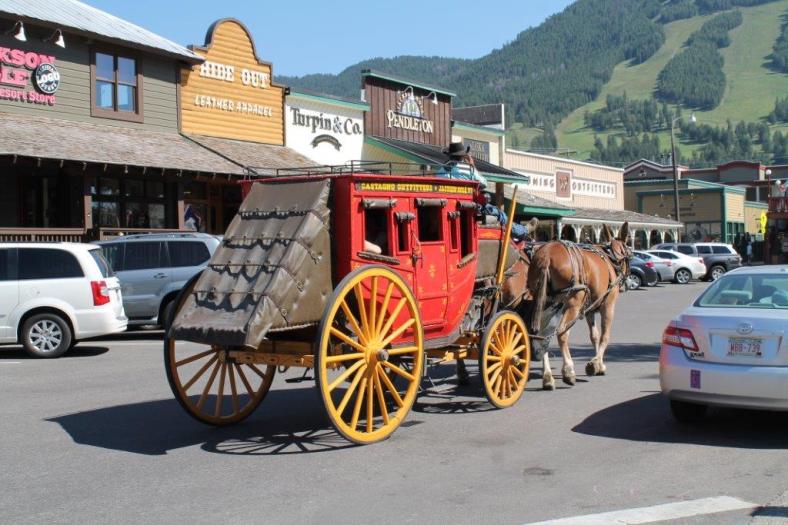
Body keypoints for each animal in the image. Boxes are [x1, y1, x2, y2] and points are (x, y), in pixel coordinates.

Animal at [526, 223, 632, 390]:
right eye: (630, 255)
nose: (628, 279)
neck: (611, 258)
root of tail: (546, 256)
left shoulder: (589, 310)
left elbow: (594, 336)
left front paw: (599, 364)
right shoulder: (608, 306)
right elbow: (605, 336)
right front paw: (596, 363)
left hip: (543, 303)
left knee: (541, 335)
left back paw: (547, 376)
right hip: (572, 304)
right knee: (562, 333)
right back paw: (568, 370)